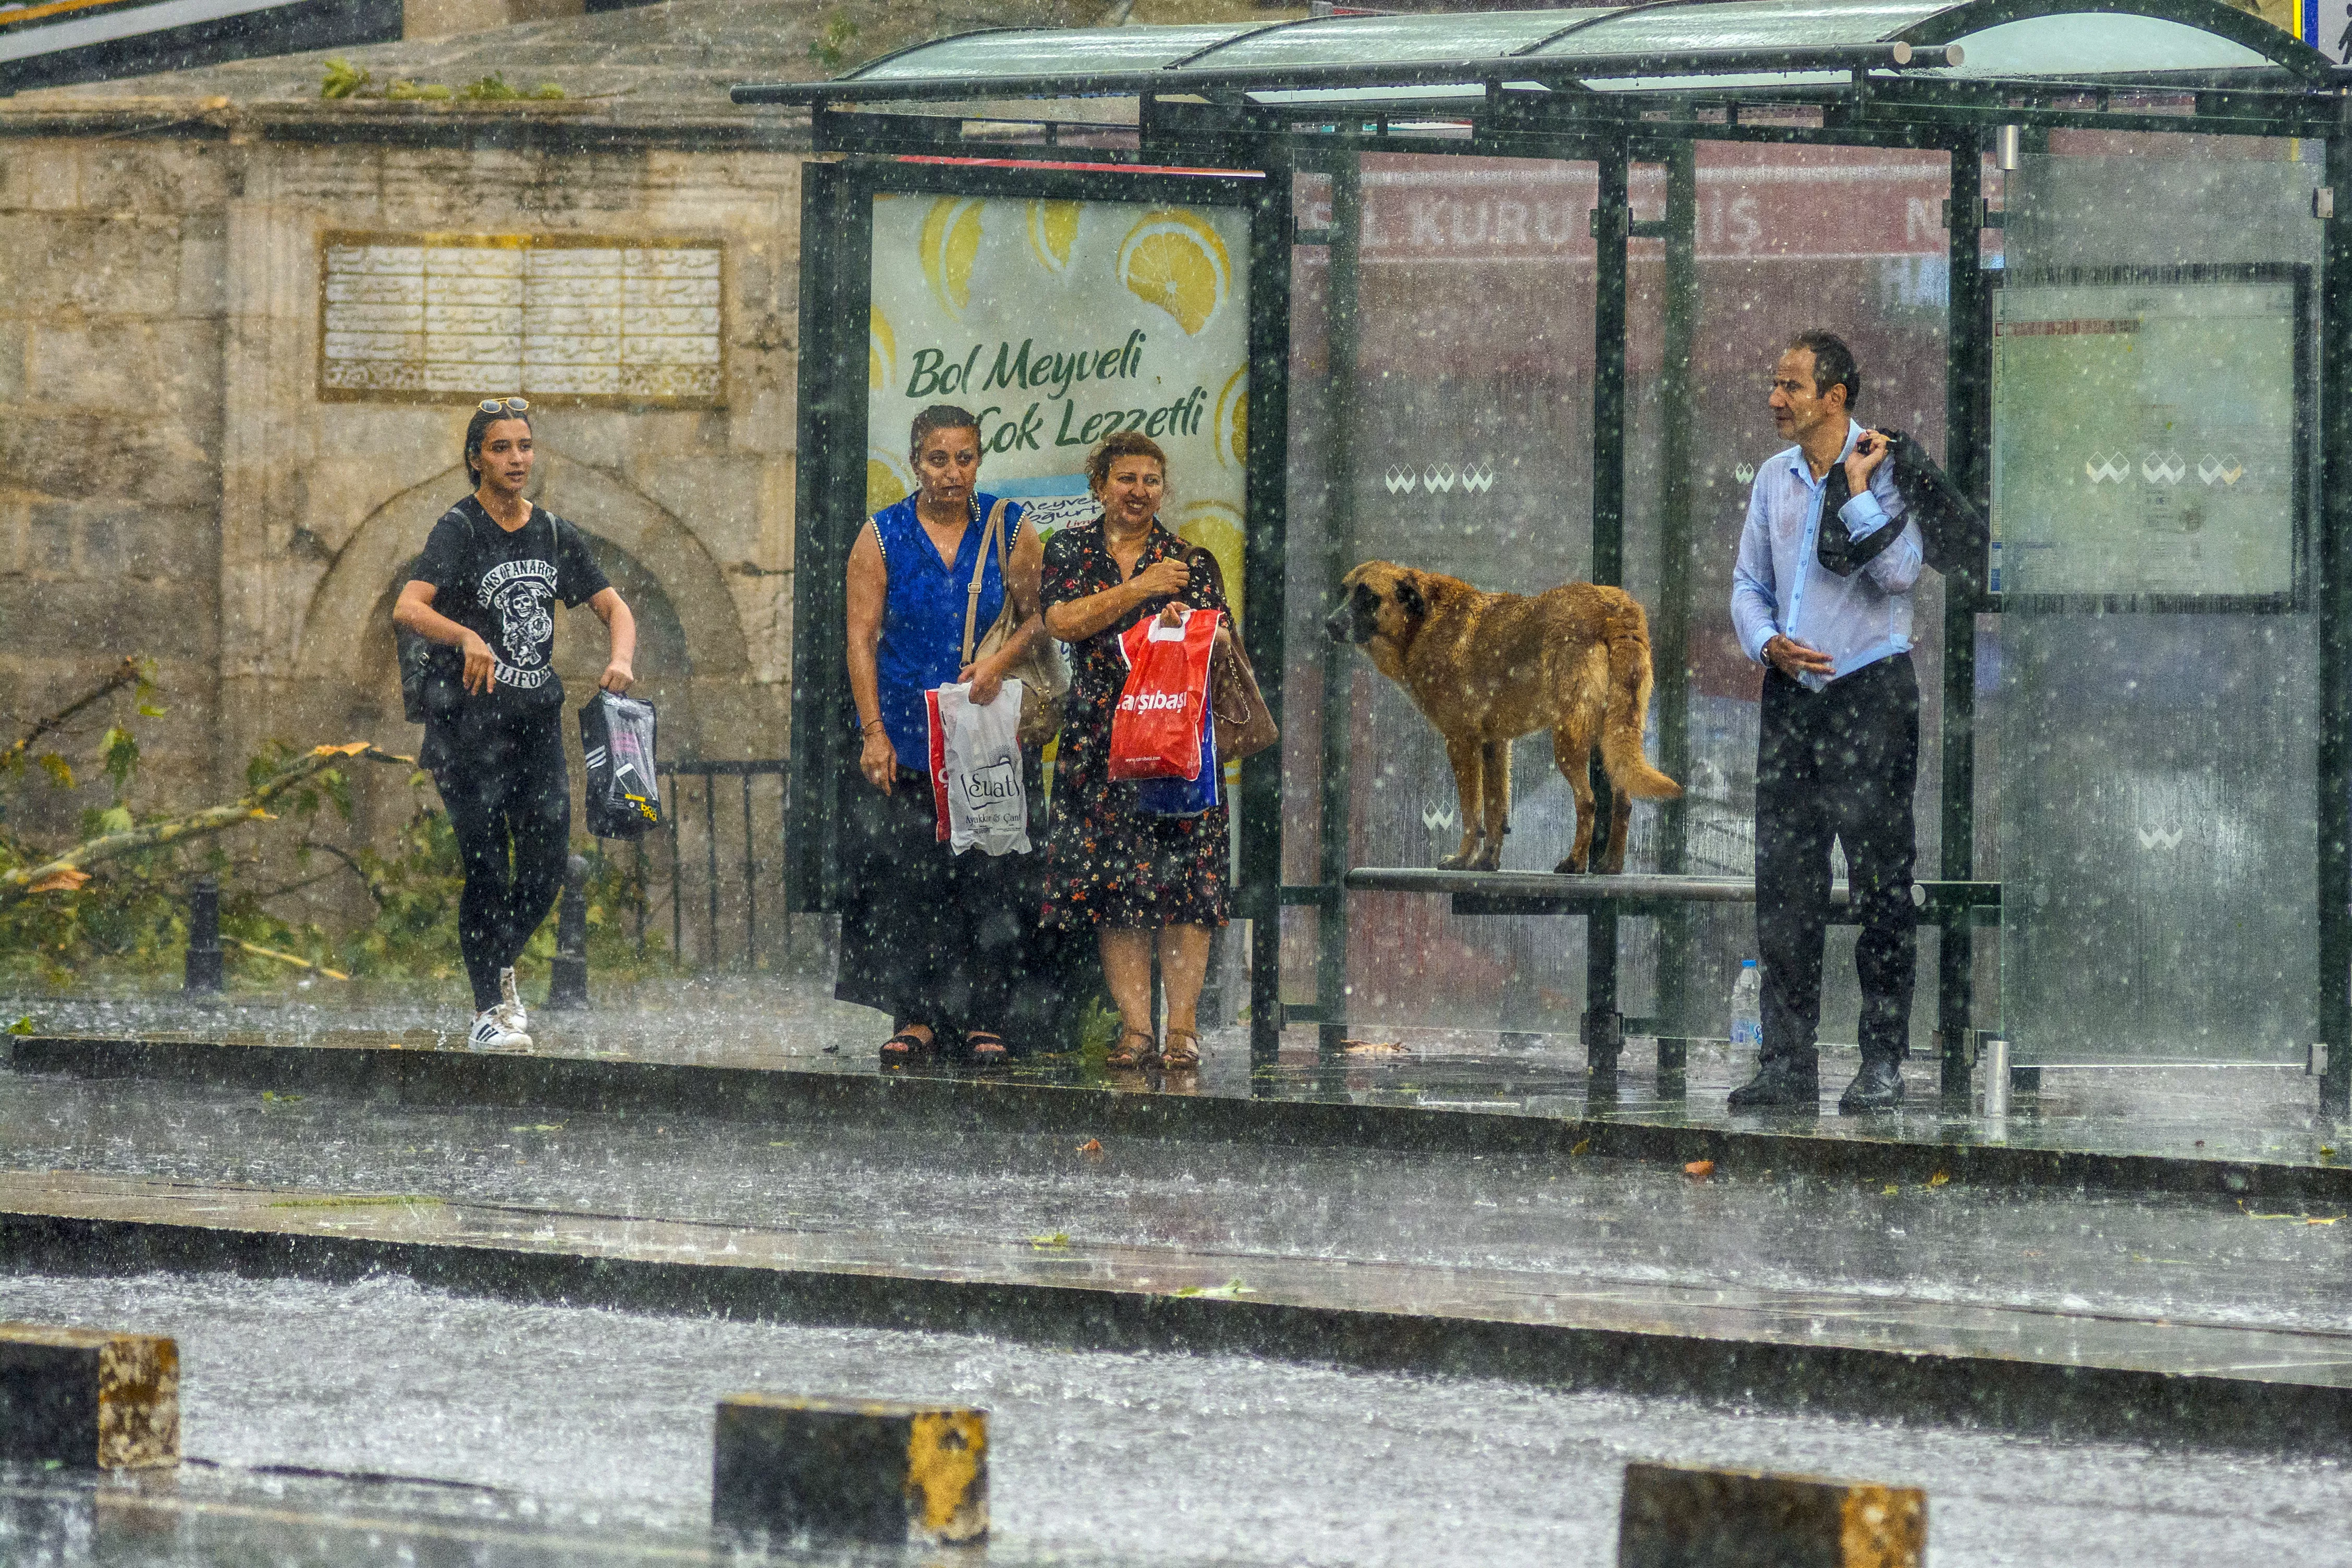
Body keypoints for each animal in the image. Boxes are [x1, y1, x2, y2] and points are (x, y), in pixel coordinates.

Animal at [1326, 564, 1693, 879]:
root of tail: (1614, 608)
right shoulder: (1496, 744)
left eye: (1368, 597)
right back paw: (1610, 866)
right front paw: (1487, 862)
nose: (1330, 624)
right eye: (1344, 593)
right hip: (1612, 737)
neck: (1423, 622)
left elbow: (1473, 812)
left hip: (1568, 740)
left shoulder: (1461, 741)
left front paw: (1463, 860)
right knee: (1624, 801)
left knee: (1588, 801)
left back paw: (1575, 863)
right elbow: (1496, 809)